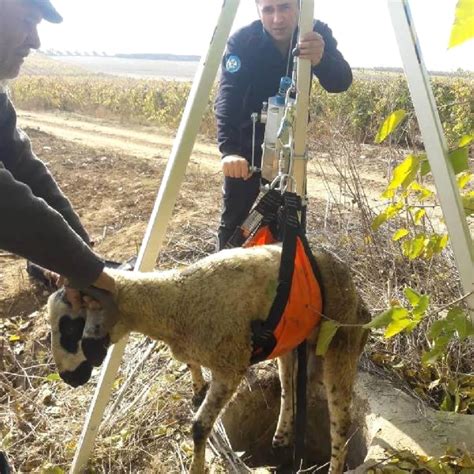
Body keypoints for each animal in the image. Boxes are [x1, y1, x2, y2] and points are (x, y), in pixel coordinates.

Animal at [48, 244, 370, 474]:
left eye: (70, 327)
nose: (68, 378)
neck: (177, 302)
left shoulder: (231, 366)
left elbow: (199, 426)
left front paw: (196, 467)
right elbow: (192, 368)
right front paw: (196, 388)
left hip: (340, 341)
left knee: (341, 421)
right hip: (292, 340)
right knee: (288, 384)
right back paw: (281, 435)